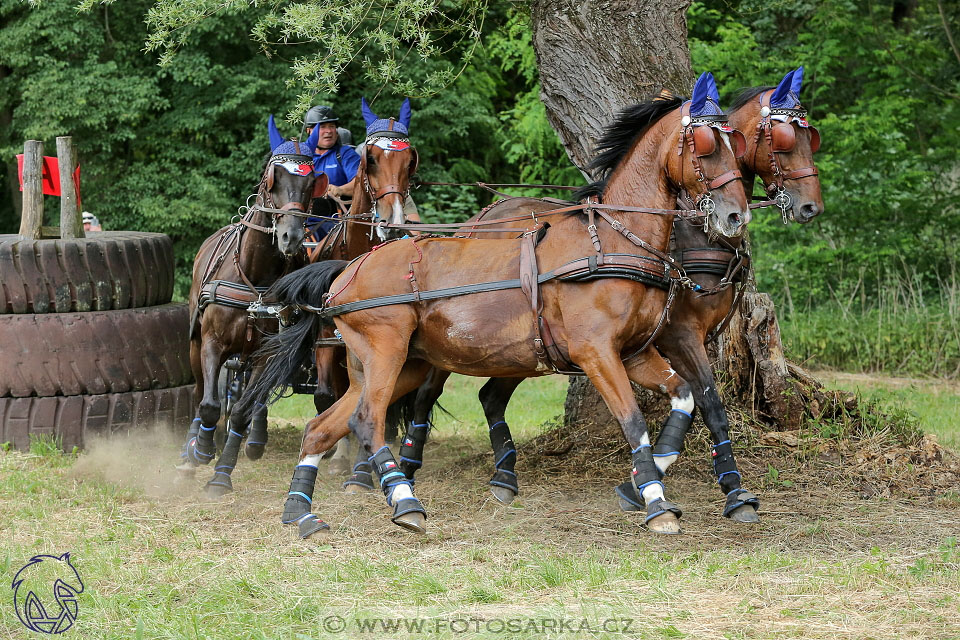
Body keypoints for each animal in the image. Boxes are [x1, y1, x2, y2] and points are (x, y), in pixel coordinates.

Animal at [240, 72, 752, 536]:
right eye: (706, 144)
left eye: (738, 143)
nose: (736, 215)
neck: (611, 240)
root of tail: (348, 270)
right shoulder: (596, 353)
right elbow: (632, 421)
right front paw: (654, 500)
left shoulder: (635, 353)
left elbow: (685, 398)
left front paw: (649, 480)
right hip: (385, 353)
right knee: (368, 421)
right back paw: (404, 502)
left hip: (401, 364)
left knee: (324, 426)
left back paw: (301, 512)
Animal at [398, 65, 824, 524]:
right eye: (783, 139)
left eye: (810, 138)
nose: (811, 207)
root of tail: (480, 218)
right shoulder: (679, 334)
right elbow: (710, 406)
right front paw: (708, 488)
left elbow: (693, 403)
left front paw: (667, 482)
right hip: (466, 339)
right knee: (427, 393)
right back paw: (405, 466)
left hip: (521, 347)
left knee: (490, 396)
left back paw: (504, 477)